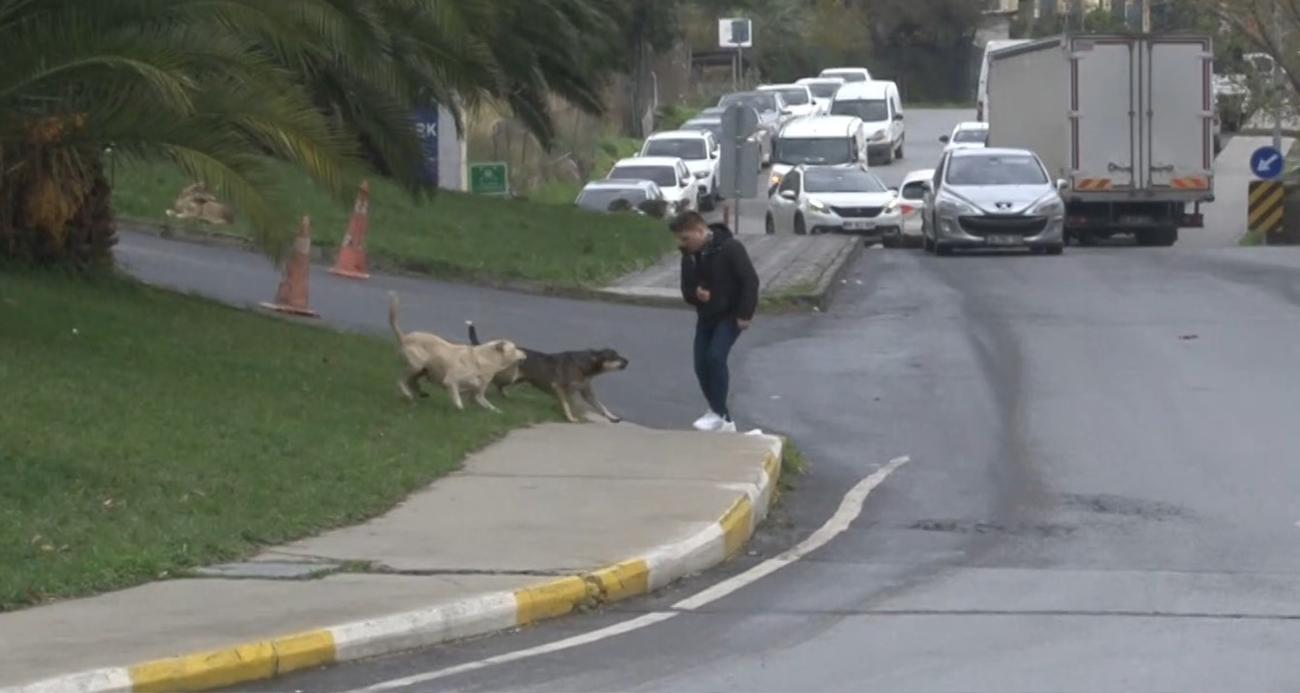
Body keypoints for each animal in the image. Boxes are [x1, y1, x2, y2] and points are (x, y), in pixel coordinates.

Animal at [387, 291, 525, 410]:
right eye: (515, 348)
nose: (525, 353)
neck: (486, 360)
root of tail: (405, 337)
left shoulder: (477, 395)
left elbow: (490, 407)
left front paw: (498, 412)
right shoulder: (451, 381)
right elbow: (458, 401)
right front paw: (459, 407)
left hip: (423, 369)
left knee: (412, 382)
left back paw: (420, 393)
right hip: (417, 366)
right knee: (401, 381)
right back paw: (408, 394)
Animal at [467, 318, 629, 421]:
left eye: (618, 355)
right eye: (615, 356)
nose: (627, 361)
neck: (586, 364)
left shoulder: (586, 392)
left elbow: (602, 406)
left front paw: (612, 417)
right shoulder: (559, 386)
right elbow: (566, 405)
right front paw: (570, 418)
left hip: (517, 377)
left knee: (500, 386)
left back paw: (505, 395)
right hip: (510, 375)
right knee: (494, 381)